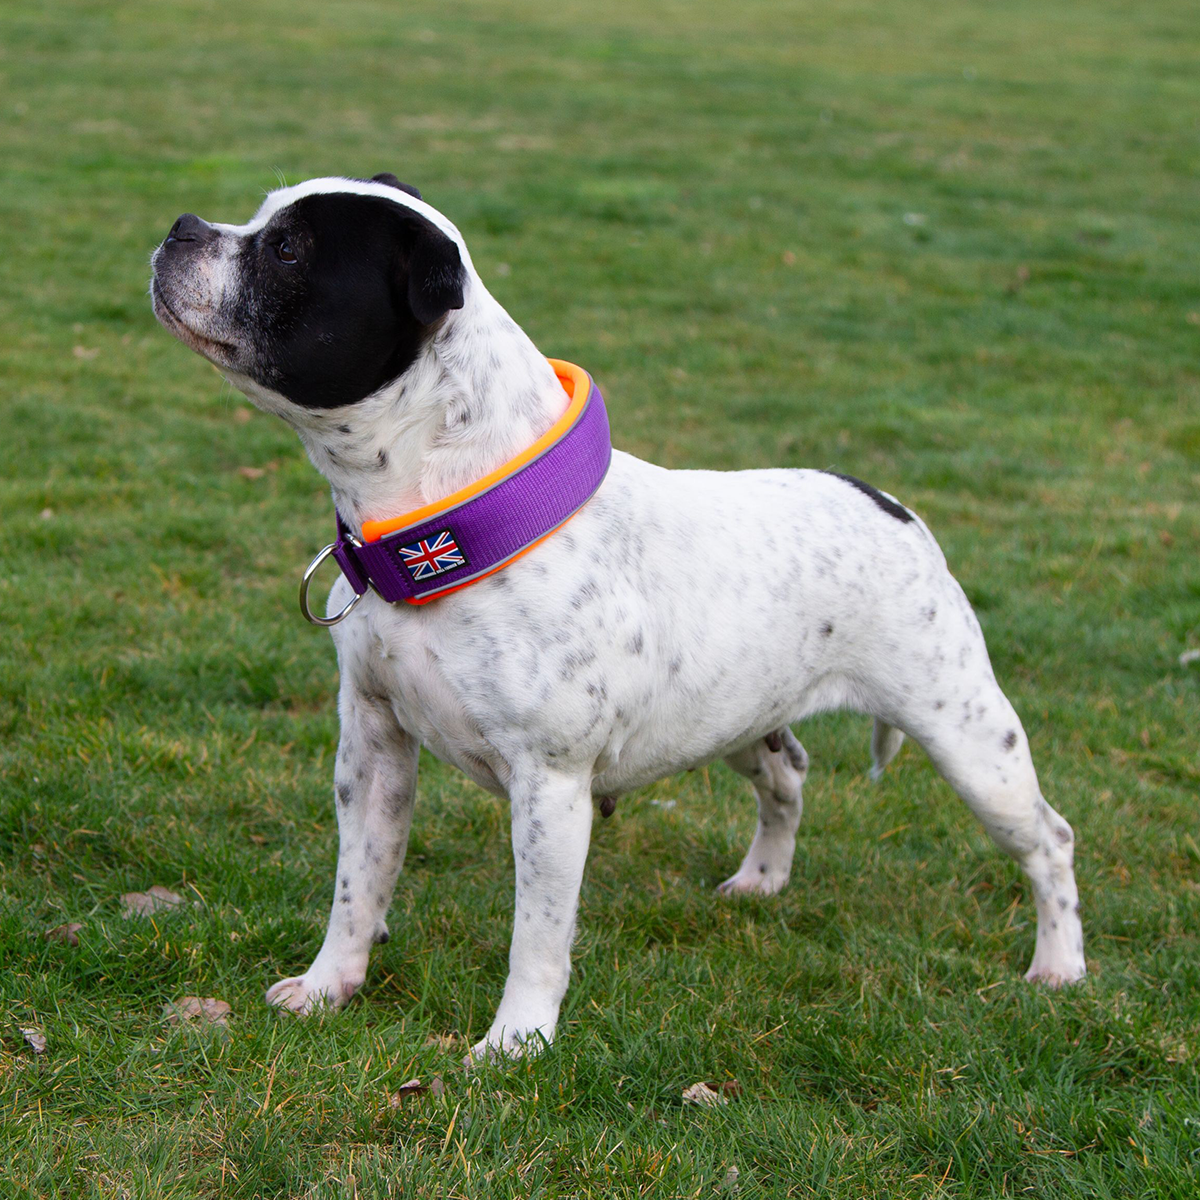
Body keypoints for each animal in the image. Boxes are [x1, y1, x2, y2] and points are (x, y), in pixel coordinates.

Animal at [152, 174, 1089, 1056]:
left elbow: (537, 937)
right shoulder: (374, 749)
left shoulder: (550, 788)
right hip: (740, 718)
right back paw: (762, 881)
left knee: (1050, 837)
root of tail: (891, 505)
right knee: (788, 774)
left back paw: (1060, 967)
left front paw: (515, 1045)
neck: (447, 526)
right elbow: (358, 886)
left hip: (969, 742)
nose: (181, 228)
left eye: (288, 251)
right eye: (261, 218)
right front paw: (328, 988)